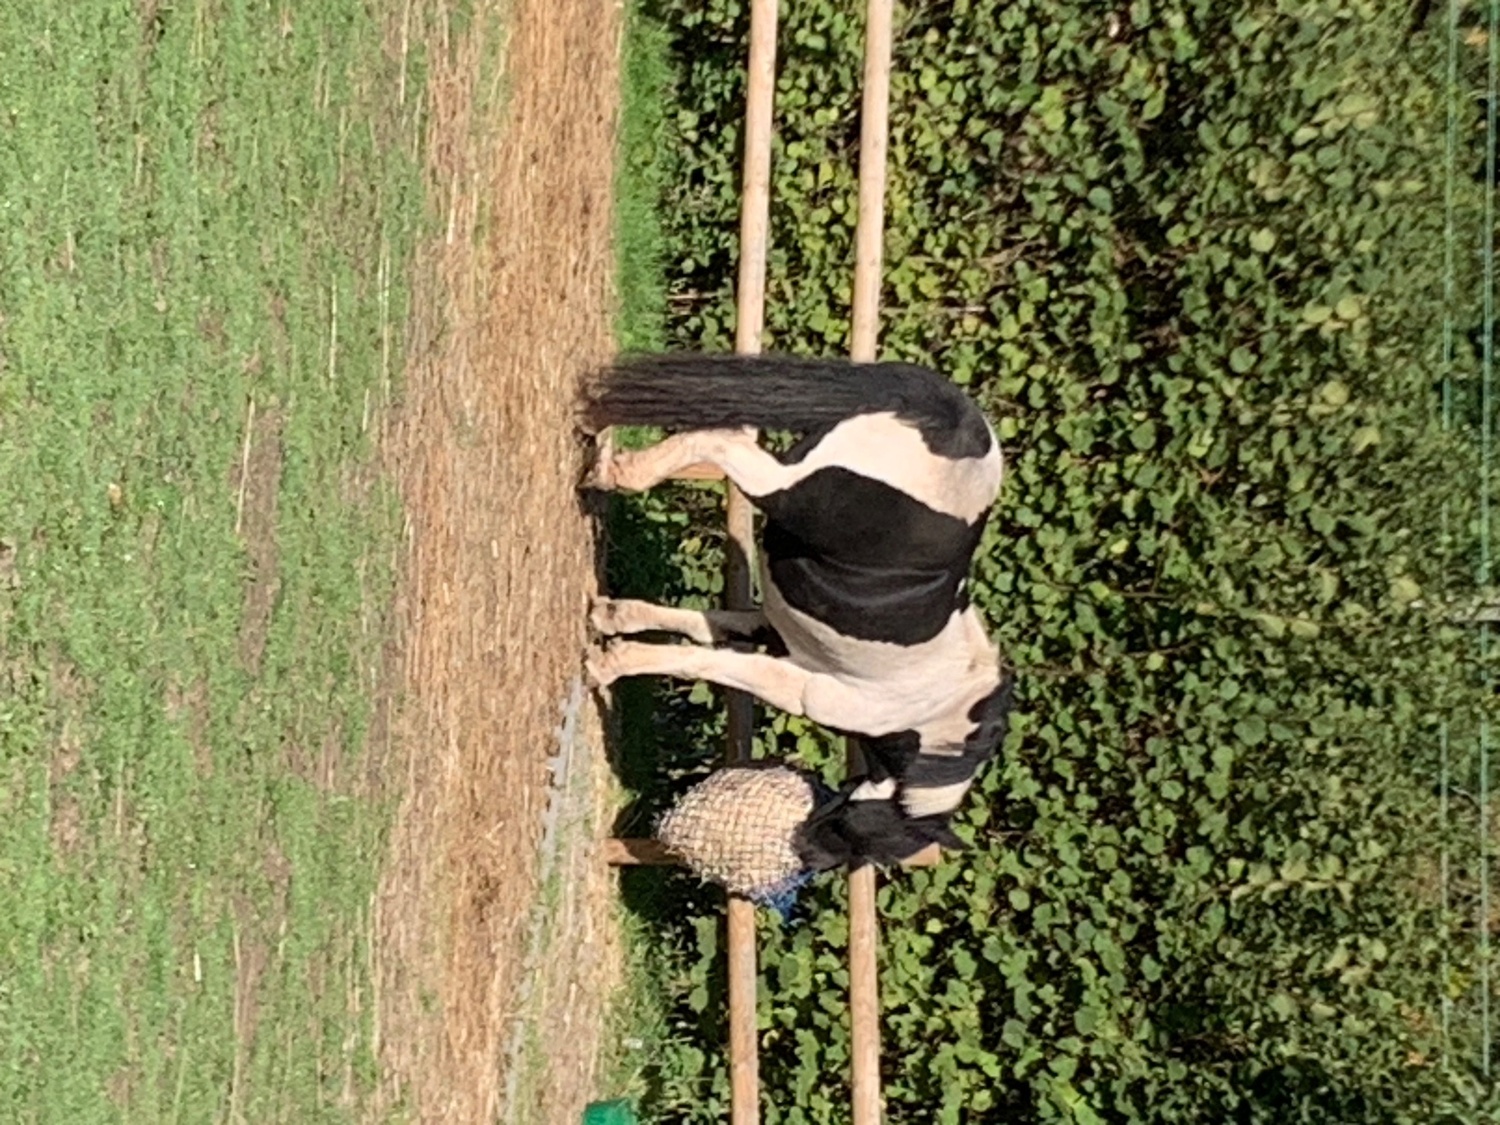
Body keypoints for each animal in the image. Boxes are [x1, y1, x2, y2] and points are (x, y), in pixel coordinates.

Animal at [581, 353, 1015, 871]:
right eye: (868, 840)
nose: (806, 858)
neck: (932, 717)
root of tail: (961, 426)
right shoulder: (801, 687)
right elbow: (707, 663)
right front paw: (608, 665)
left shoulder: (774, 632)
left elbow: (702, 629)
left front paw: (610, 619)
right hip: (784, 493)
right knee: (721, 442)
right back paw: (611, 469)